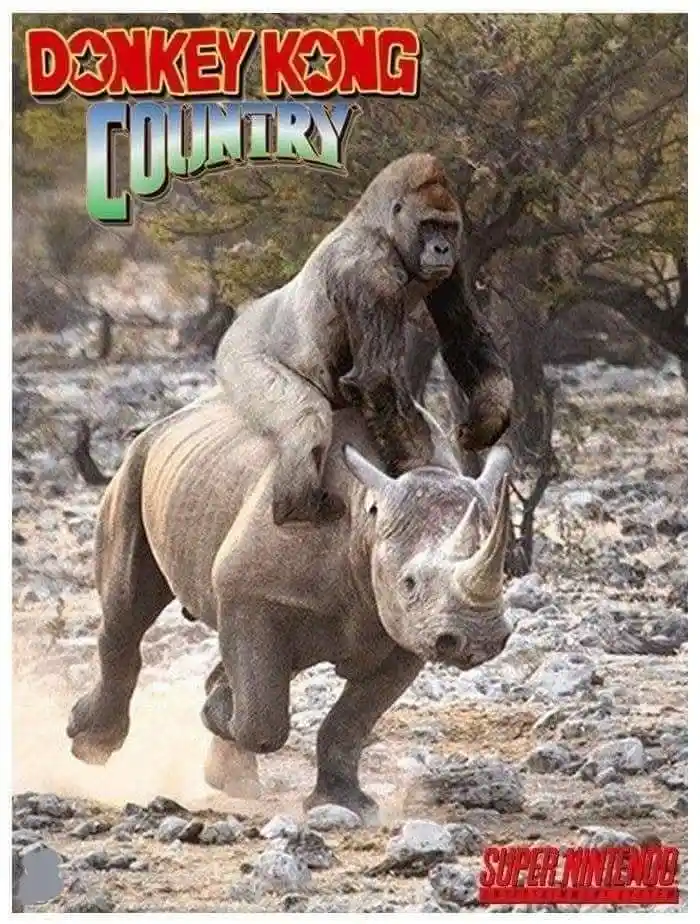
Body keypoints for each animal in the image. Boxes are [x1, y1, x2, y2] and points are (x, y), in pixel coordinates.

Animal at [67, 389, 513, 819]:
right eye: (410, 583)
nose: (481, 639)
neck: (367, 523)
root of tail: (167, 420)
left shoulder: (408, 634)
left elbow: (351, 722)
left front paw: (346, 804)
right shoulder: (248, 591)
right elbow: (262, 720)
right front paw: (218, 711)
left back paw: (232, 778)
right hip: (138, 464)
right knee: (127, 612)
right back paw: (90, 746)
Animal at [215, 153, 513, 526]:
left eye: (447, 227)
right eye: (428, 225)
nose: (441, 248)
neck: (383, 227)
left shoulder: (455, 264)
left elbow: (464, 336)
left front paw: (488, 419)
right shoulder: (369, 270)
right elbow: (377, 377)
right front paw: (417, 477)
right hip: (238, 355)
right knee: (308, 418)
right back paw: (299, 507)